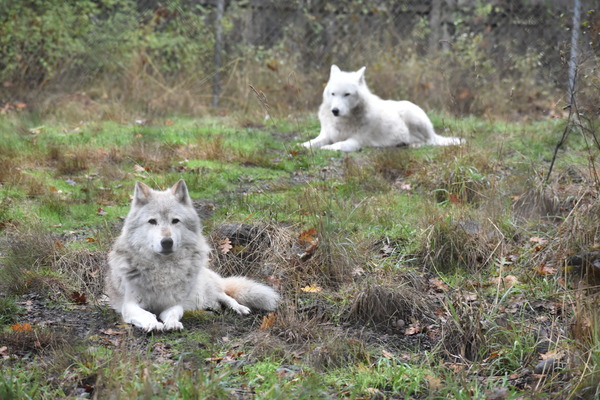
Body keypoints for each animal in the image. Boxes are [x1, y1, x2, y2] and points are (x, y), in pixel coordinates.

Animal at [105, 180, 279, 332]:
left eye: (175, 221)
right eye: (152, 221)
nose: (167, 242)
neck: (163, 270)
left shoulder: (174, 303)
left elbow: (173, 313)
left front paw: (172, 324)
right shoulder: (130, 305)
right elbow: (147, 314)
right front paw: (153, 324)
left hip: (210, 289)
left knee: (227, 297)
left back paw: (240, 308)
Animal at [302, 65, 464, 152]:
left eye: (346, 94)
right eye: (333, 94)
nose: (335, 111)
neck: (344, 121)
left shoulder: (356, 141)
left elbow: (339, 144)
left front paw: (326, 148)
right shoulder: (326, 135)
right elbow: (312, 142)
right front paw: (302, 145)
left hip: (412, 116)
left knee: (429, 141)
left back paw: (414, 144)